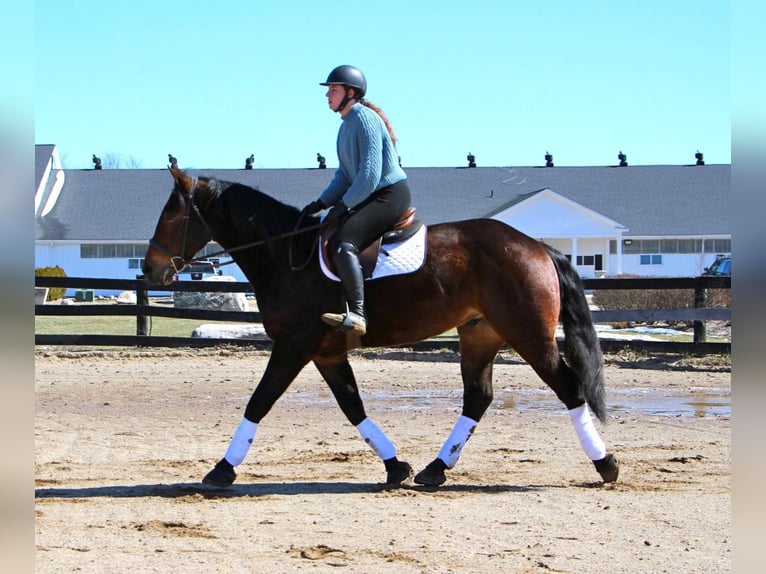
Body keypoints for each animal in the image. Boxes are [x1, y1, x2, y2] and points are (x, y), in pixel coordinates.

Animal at [144, 165, 620, 490]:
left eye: (169, 214)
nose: (149, 269)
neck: (285, 254)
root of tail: (536, 245)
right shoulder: (326, 352)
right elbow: (352, 406)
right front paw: (395, 467)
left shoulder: (294, 345)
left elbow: (259, 402)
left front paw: (221, 470)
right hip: (480, 334)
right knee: (478, 397)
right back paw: (434, 469)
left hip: (530, 336)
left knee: (569, 389)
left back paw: (606, 464)